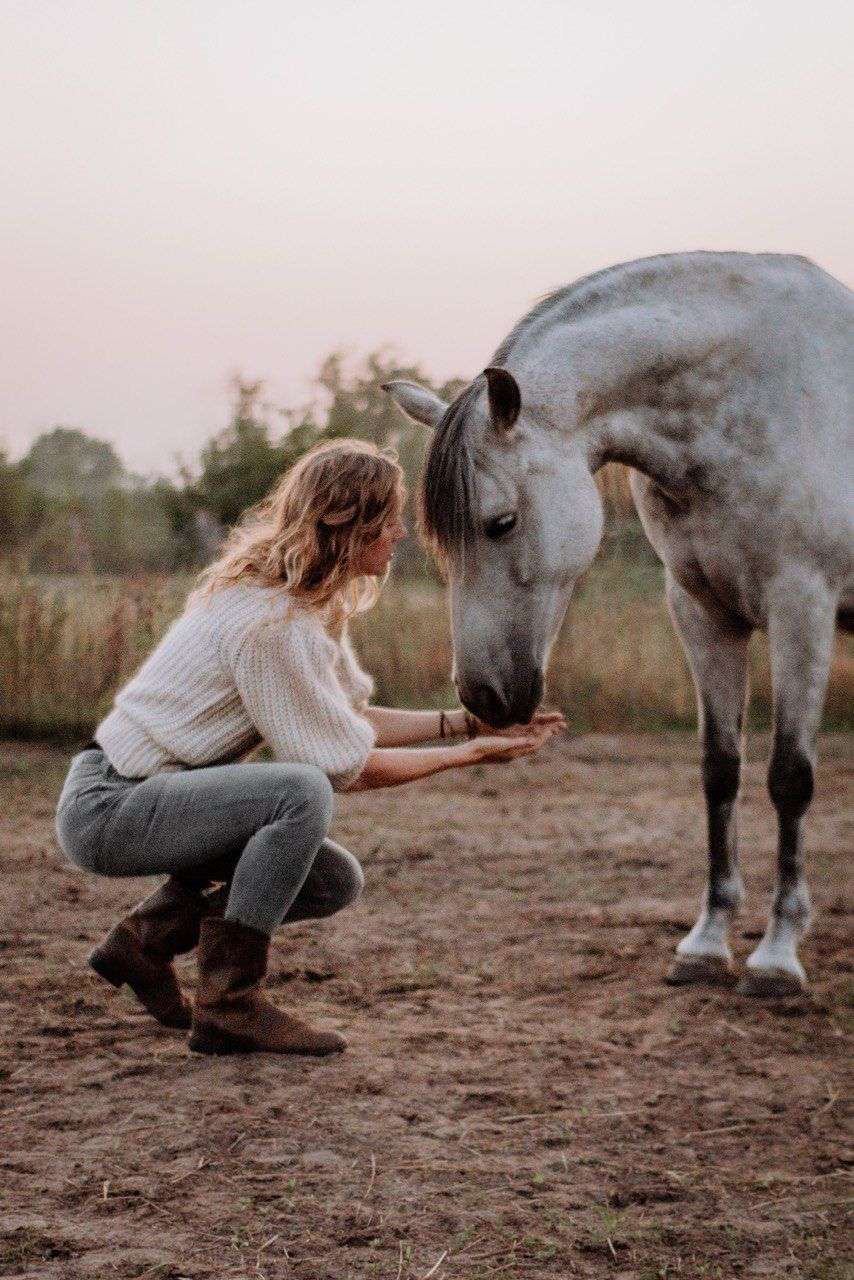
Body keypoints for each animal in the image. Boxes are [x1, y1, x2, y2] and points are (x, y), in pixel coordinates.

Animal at [386, 252, 854, 998]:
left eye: (502, 522)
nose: (484, 697)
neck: (763, 395)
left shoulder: (801, 608)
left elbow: (790, 777)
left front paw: (778, 955)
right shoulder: (701, 612)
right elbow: (719, 770)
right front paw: (706, 944)